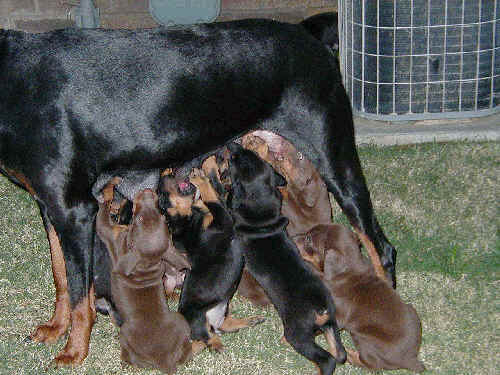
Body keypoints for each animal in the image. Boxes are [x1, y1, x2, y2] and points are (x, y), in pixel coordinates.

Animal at [95, 180, 191, 374]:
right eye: (162, 215)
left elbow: (102, 218)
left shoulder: (112, 234)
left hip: (125, 332)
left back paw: (125, 362)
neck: (146, 263)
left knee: (130, 355)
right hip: (180, 321)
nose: (147, 191)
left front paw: (109, 189)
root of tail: (165, 360)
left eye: (137, 219)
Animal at [228, 144, 348, 375]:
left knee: (327, 359)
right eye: (253, 156)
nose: (233, 146)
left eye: (237, 161)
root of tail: (320, 308)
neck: (262, 217)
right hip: (330, 324)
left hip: (298, 333)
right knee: (340, 354)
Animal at [296, 225, 426, 374]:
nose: (291, 237)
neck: (350, 267)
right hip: (412, 310)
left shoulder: (339, 316)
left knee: (371, 364)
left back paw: (351, 355)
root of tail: (411, 359)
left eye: (308, 239)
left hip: (362, 338)